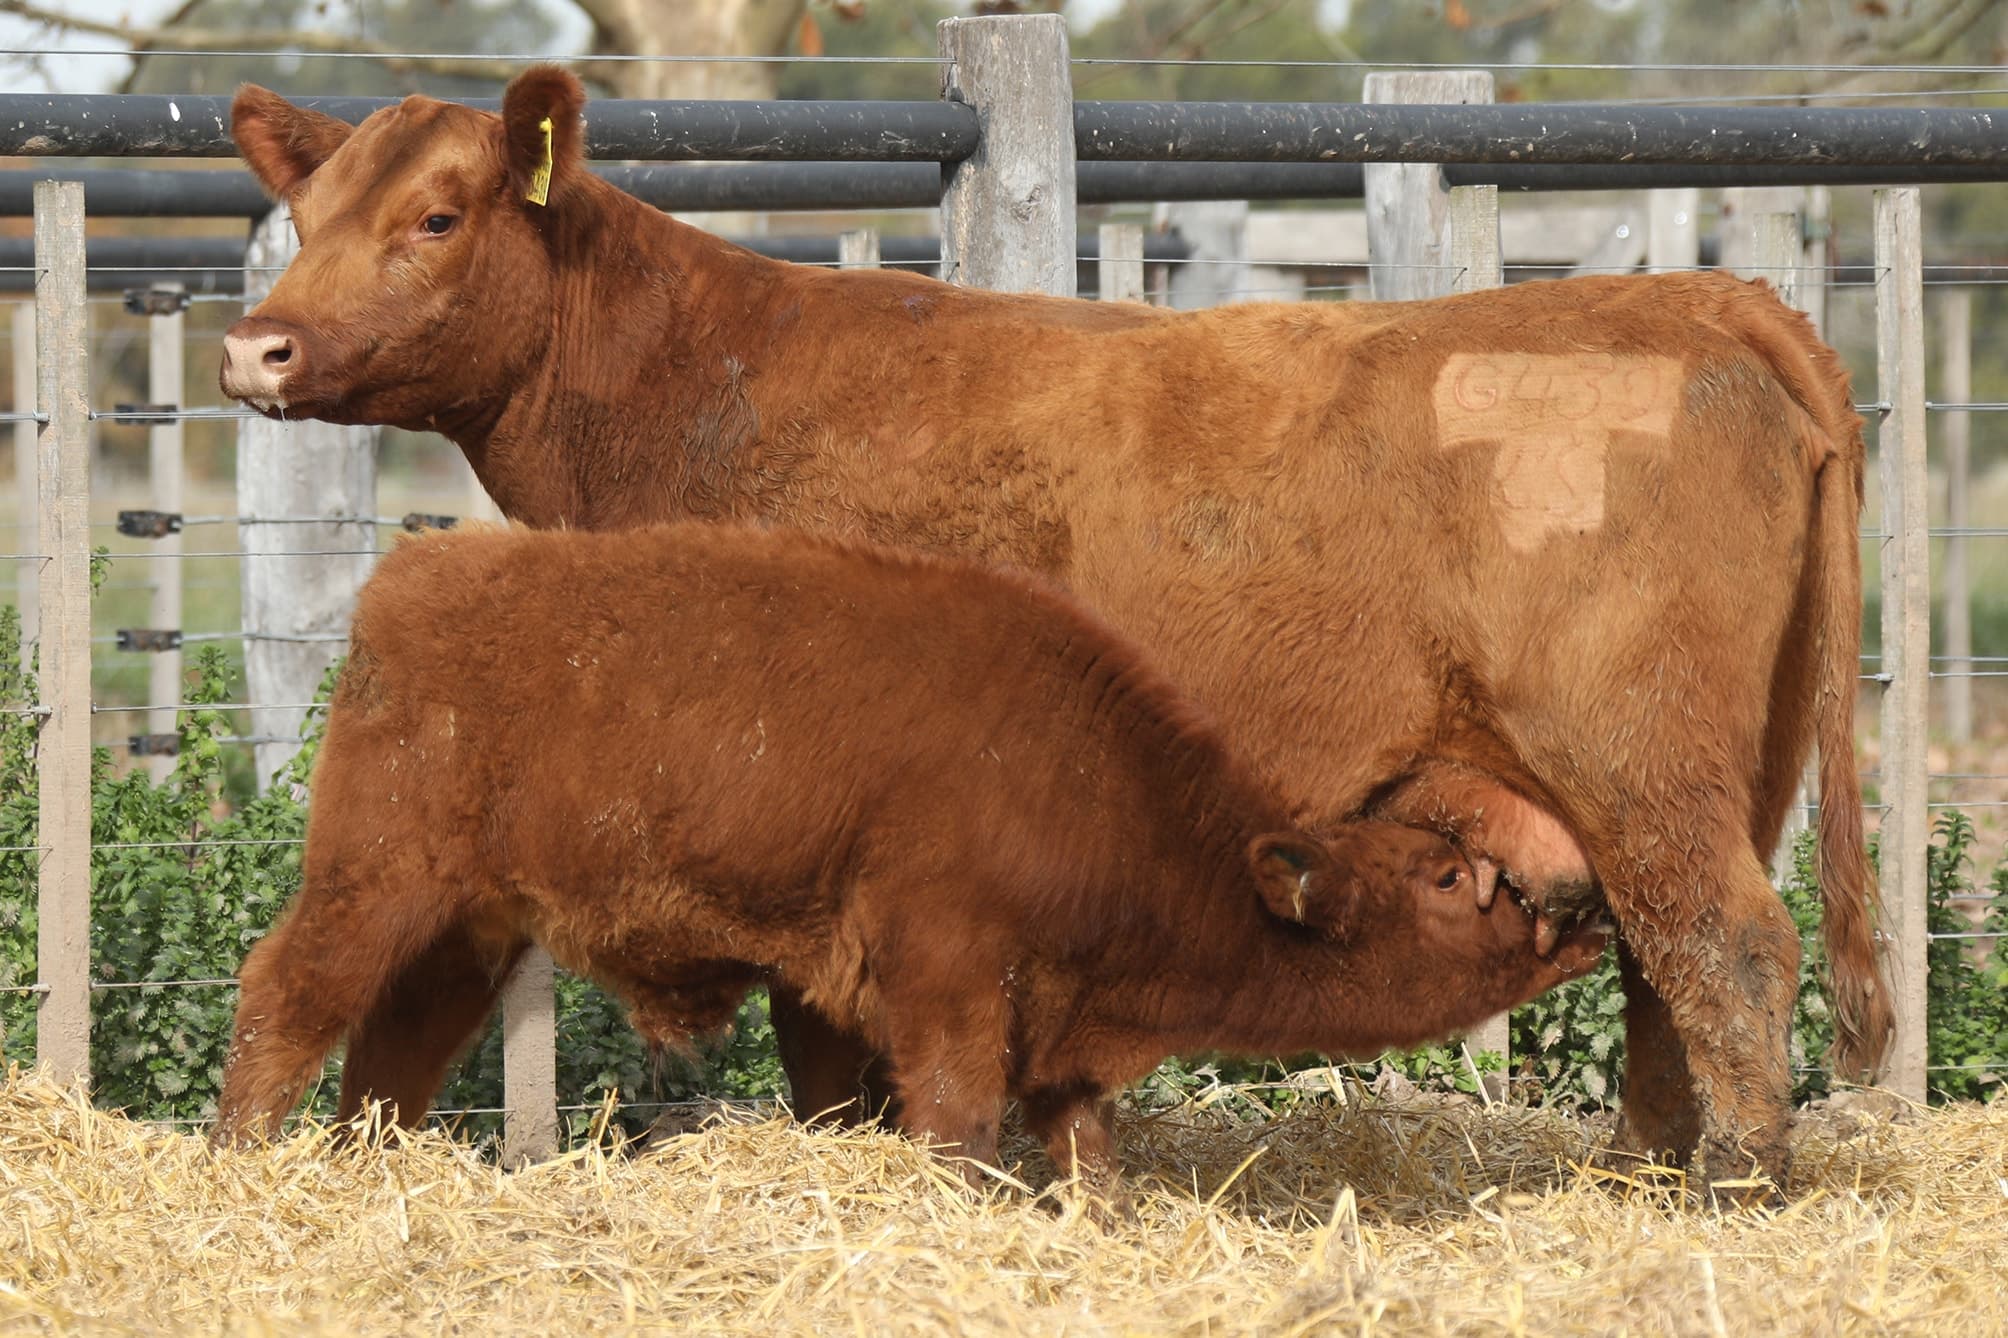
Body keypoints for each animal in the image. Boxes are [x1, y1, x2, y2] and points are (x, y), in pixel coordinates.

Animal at [209, 522, 1611, 1196]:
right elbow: (953, 1125)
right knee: (288, 993)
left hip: (471, 926)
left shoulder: (1056, 1039)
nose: (1584, 914)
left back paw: (361, 1170)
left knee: (393, 1045)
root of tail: (413, 574)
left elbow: (1082, 1148)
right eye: (1445, 879)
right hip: (380, 880)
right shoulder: (949, 986)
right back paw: (239, 1163)